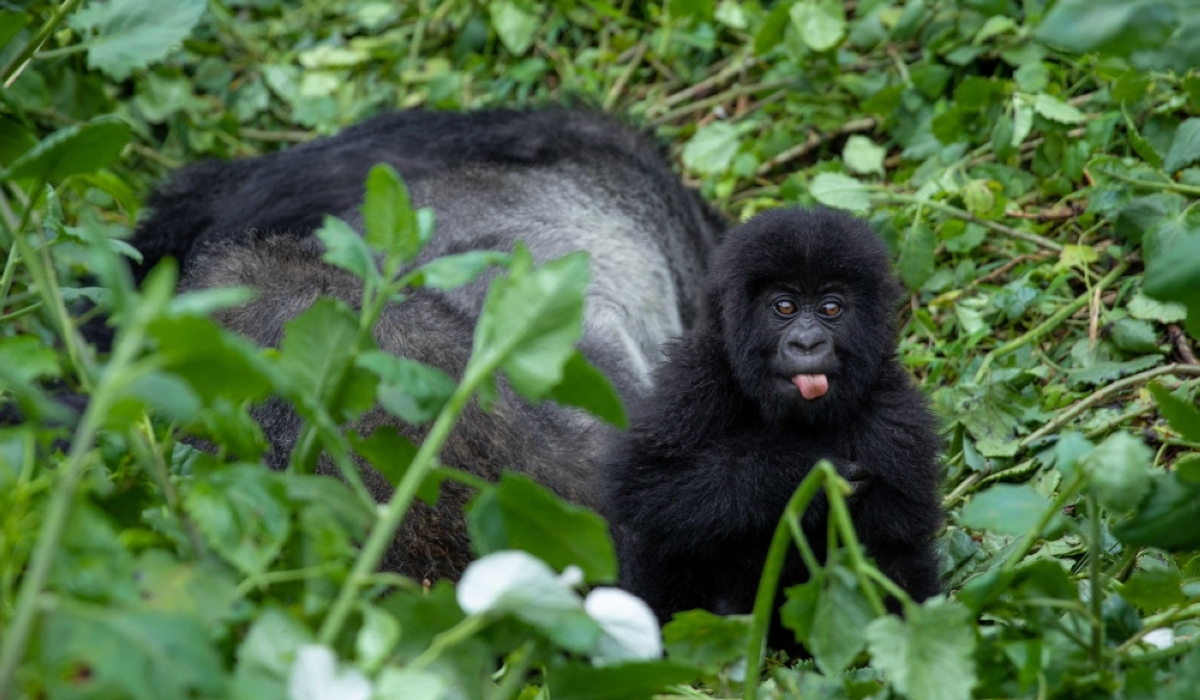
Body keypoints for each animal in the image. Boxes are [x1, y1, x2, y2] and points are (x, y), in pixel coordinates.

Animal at [602, 207, 944, 646]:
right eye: (784, 306)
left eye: (830, 309)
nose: (807, 343)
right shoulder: (696, 379)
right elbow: (646, 482)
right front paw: (798, 476)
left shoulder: (895, 416)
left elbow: (898, 539)